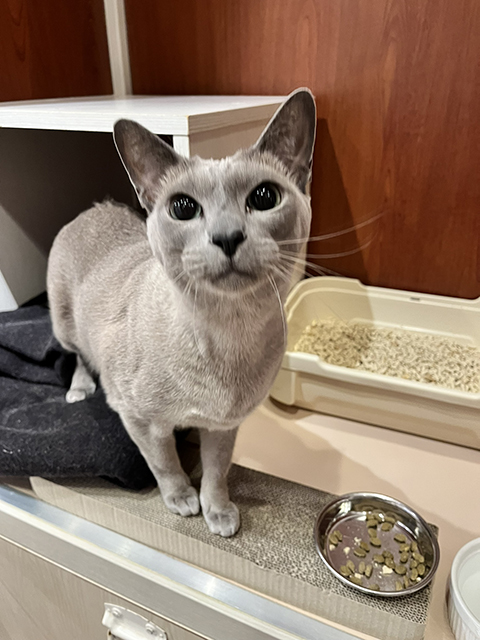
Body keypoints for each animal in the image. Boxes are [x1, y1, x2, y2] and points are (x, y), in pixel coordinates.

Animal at [47, 89, 316, 537]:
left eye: (264, 198)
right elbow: (165, 463)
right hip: (65, 324)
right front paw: (181, 500)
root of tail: (95, 207)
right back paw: (79, 389)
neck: (229, 333)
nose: (227, 237)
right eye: (184, 208)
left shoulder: (223, 426)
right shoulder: (139, 420)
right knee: (78, 356)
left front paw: (219, 513)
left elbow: (216, 472)